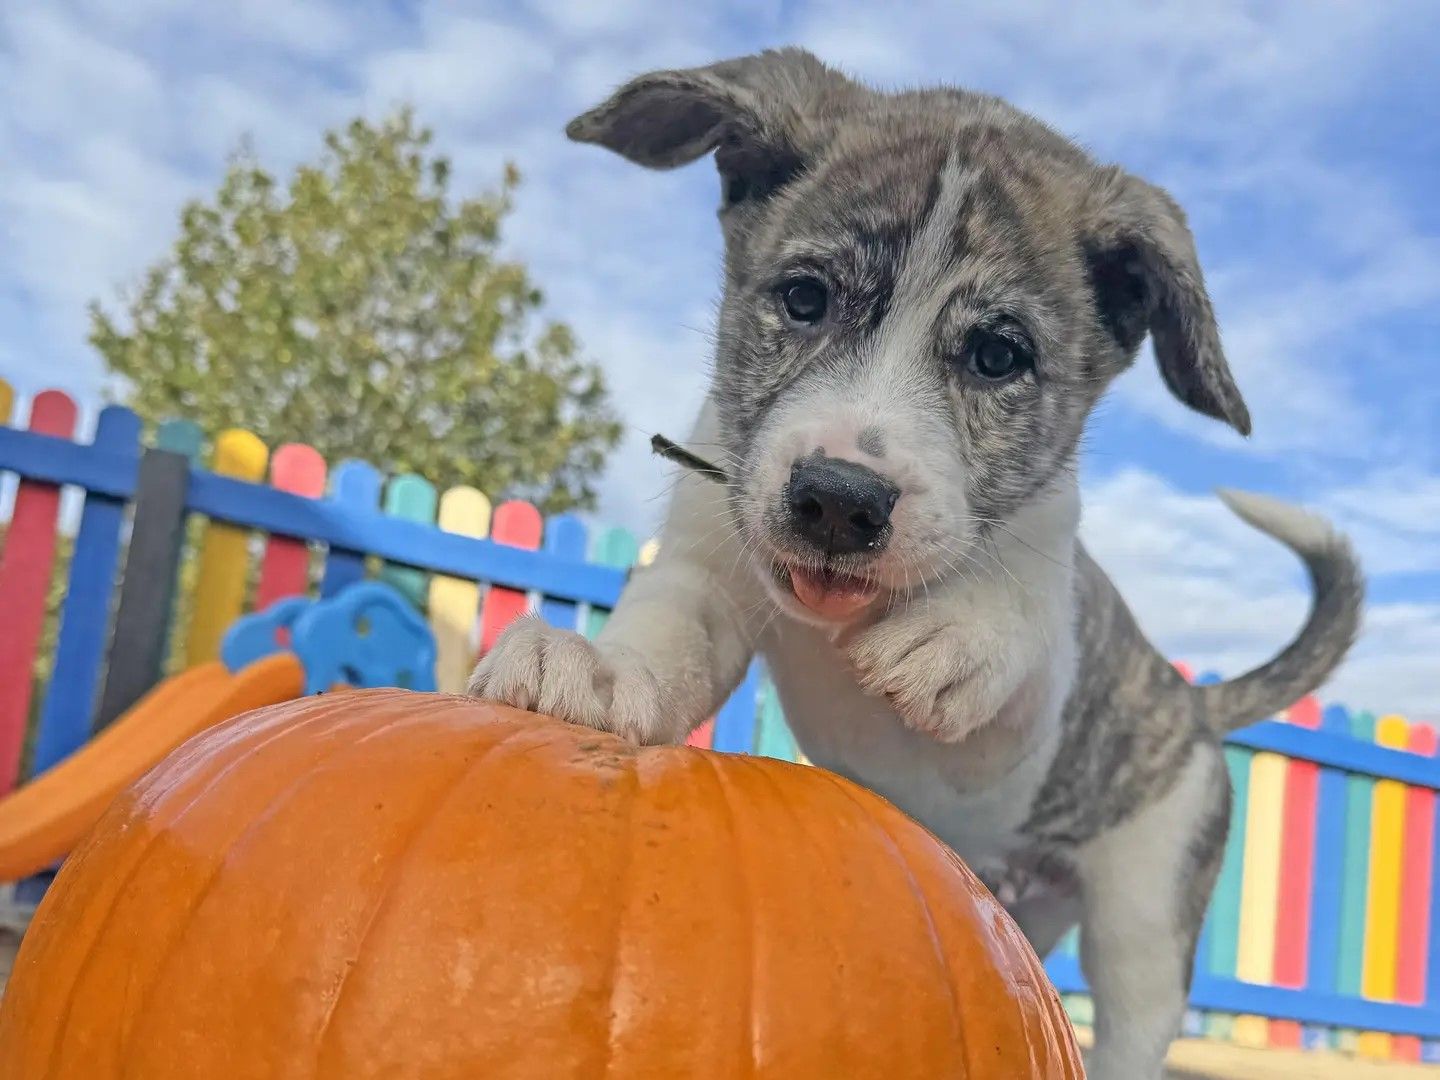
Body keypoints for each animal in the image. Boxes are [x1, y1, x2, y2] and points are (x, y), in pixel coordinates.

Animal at [469, 50, 1359, 1080]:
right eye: (804, 298)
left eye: (998, 355)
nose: (837, 499)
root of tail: (1190, 705)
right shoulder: (706, 563)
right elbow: (668, 632)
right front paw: (603, 668)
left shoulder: (1013, 729)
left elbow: (1015, 630)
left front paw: (961, 635)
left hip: (1142, 923)